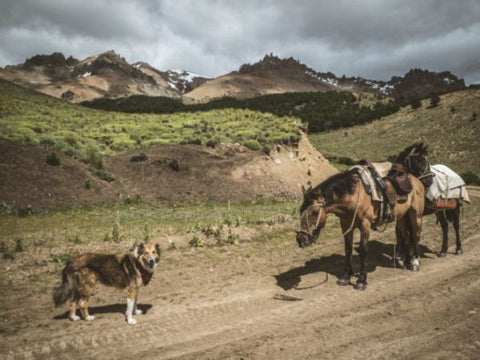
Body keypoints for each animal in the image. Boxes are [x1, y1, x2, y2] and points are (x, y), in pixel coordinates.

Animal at [296, 168, 424, 290]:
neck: (354, 197)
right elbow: (348, 250)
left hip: (415, 215)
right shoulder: (346, 225)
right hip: (401, 217)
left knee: (415, 236)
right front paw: (346, 276)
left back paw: (415, 263)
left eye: (314, 212)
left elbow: (363, 251)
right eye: (301, 211)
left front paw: (361, 281)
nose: (301, 239)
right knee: (406, 237)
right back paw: (407, 262)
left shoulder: (365, 226)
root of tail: (415, 180)